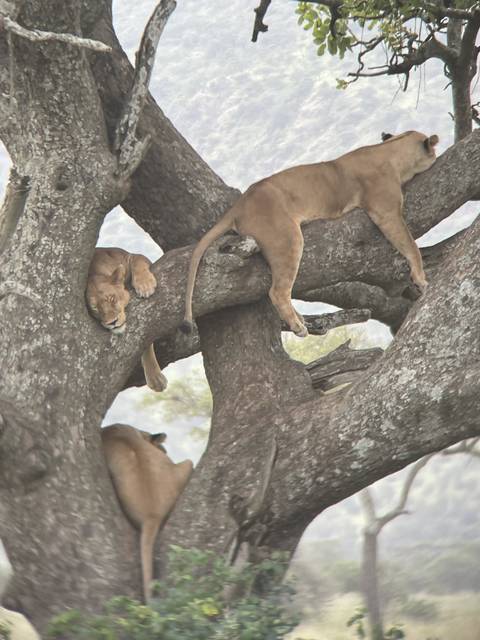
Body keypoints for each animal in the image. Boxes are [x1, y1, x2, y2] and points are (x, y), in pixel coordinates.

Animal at [86, 247, 167, 392]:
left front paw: (145, 285)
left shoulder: (130, 257)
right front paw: (155, 378)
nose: (112, 322)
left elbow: (138, 262)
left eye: (112, 298)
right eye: (95, 308)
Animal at [181, 131, 439, 337]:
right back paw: (298, 327)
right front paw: (421, 279)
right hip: (287, 238)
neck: (389, 151)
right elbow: (410, 245)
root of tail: (239, 204)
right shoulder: (386, 212)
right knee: (277, 291)